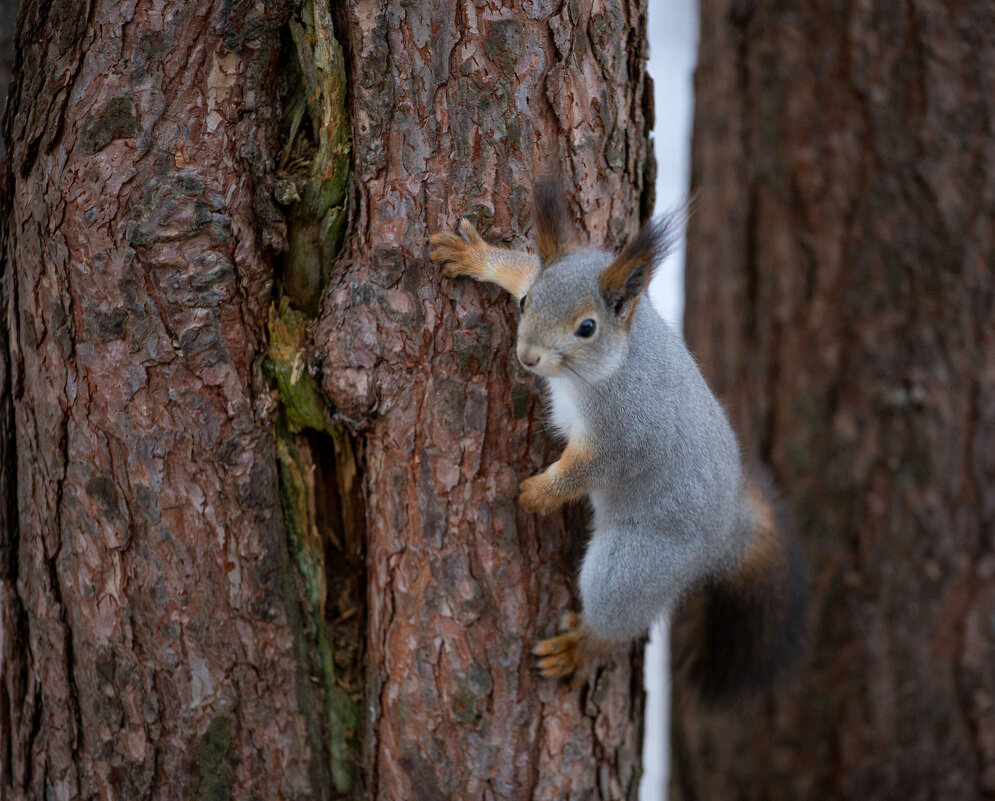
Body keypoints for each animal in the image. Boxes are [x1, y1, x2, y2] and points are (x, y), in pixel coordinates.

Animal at [432, 178, 804, 696]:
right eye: (527, 302)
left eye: (587, 328)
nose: (527, 357)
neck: (614, 363)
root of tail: (728, 534)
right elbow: (519, 267)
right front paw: (475, 255)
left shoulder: (630, 431)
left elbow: (594, 467)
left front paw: (540, 493)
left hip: (635, 564)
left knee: (616, 613)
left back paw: (583, 646)